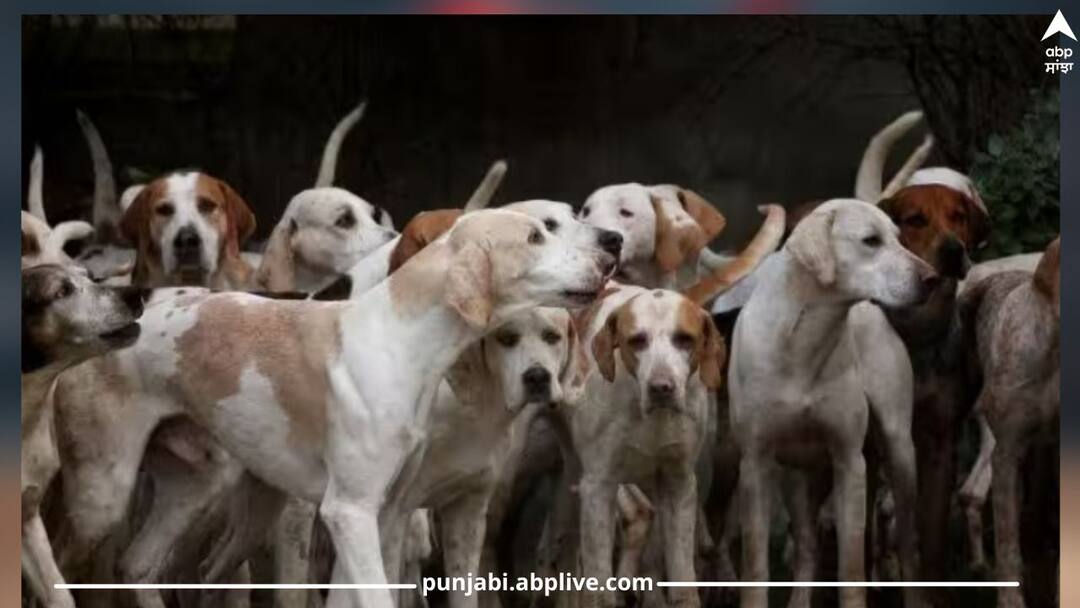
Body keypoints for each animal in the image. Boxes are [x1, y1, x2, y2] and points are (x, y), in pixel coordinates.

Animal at [51, 208, 616, 608]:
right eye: (537, 236)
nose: (608, 258)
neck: (400, 339)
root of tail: (103, 327)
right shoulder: (350, 512)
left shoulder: (379, 513)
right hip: (103, 497)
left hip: (195, 488)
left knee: (137, 567)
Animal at [728, 199, 937, 608]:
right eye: (870, 241)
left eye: (900, 239)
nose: (932, 278)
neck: (804, 339)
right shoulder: (755, 464)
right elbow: (755, 565)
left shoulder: (849, 461)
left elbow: (851, 566)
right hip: (796, 476)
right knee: (807, 545)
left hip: (899, 451)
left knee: (908, 541)